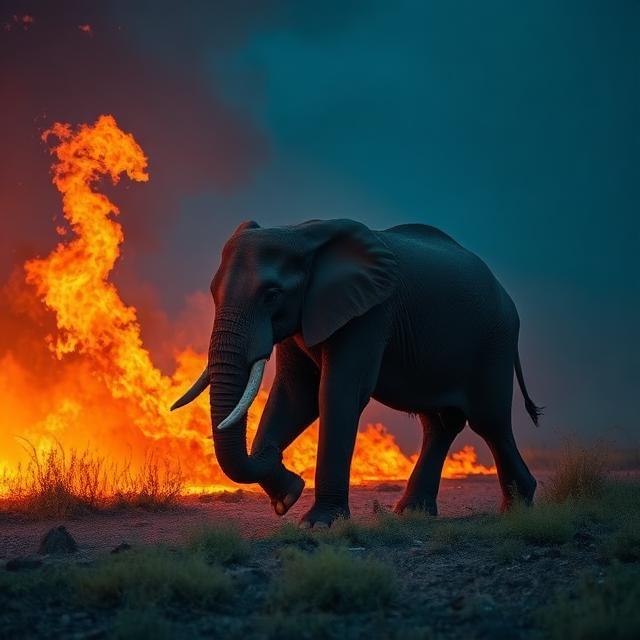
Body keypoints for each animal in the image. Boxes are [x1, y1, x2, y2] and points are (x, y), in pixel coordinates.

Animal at [172, 219, 541, 528]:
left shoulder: (371, 313)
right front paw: (287, 496)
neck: (299, 233)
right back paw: (413, 513)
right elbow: (295, 395)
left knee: (489, 422)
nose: (279, 459)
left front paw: (318, 524)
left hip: (493, 341)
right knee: (440, 425)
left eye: (272, 294)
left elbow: (336, 393)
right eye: (213, 293)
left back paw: (518, 509)